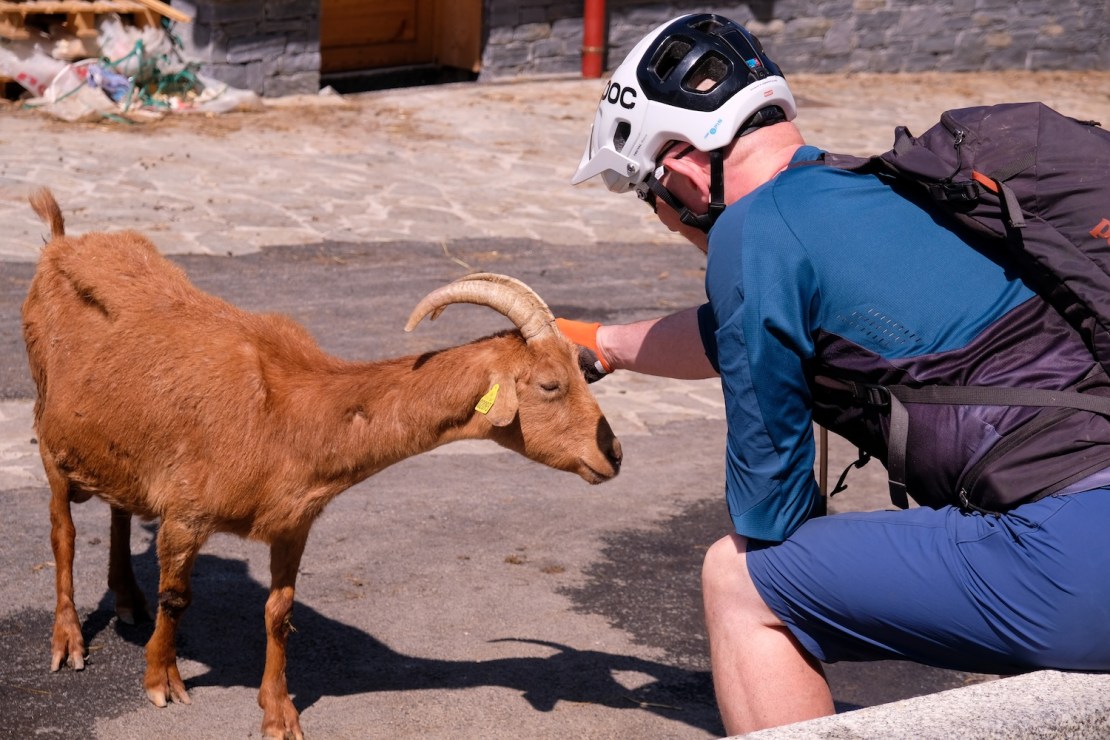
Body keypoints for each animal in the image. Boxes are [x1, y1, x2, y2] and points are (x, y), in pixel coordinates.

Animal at [21, 188, 622, 740]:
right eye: (550, 384)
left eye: (582, 370)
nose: (612, 454)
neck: (291, 410)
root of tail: (60, 245)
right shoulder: (185, 516)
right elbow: (178, 598)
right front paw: (162, 680)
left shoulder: (293, 523)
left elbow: (279, 612)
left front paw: (279, 713)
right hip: (49, 431)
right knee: (62, 531)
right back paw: (68, 641)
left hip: (117, 448)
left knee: (119, 511)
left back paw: (127, 599)